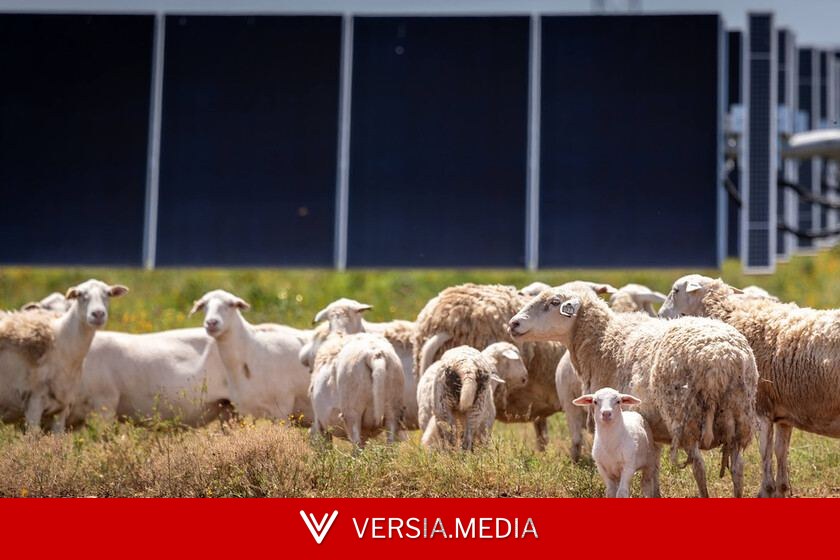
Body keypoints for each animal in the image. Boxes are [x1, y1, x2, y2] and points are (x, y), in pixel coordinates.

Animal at [659, 274, 840, 497]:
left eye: (675, 291)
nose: (659, 315)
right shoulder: (783, 415)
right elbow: (780, 452)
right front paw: (781, 489)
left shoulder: (760, 409)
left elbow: (765, 453)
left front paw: (765, 490)